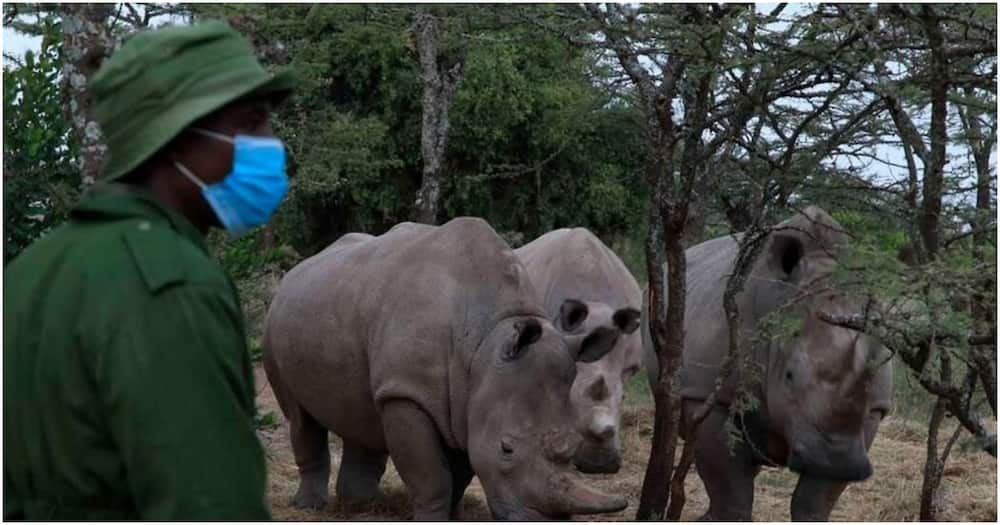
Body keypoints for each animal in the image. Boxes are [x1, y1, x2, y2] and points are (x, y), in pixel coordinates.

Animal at [264, 218, 624, 520]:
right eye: (506, 448)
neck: (484, 347)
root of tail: (298, 270)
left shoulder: (469, 403)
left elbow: (461, 471)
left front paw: (453, 515)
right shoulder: (407, 392)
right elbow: (433, 476)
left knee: (361, 409)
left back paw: (360, 504)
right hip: (277, 320)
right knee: (300, 418)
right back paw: (310, 505)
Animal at [644, 206, 896, 520]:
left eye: (871, 373)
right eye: (788, 376)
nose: (836, 463)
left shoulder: (873, 410)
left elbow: (813, 502)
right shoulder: (712, 395)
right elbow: (731, 492)